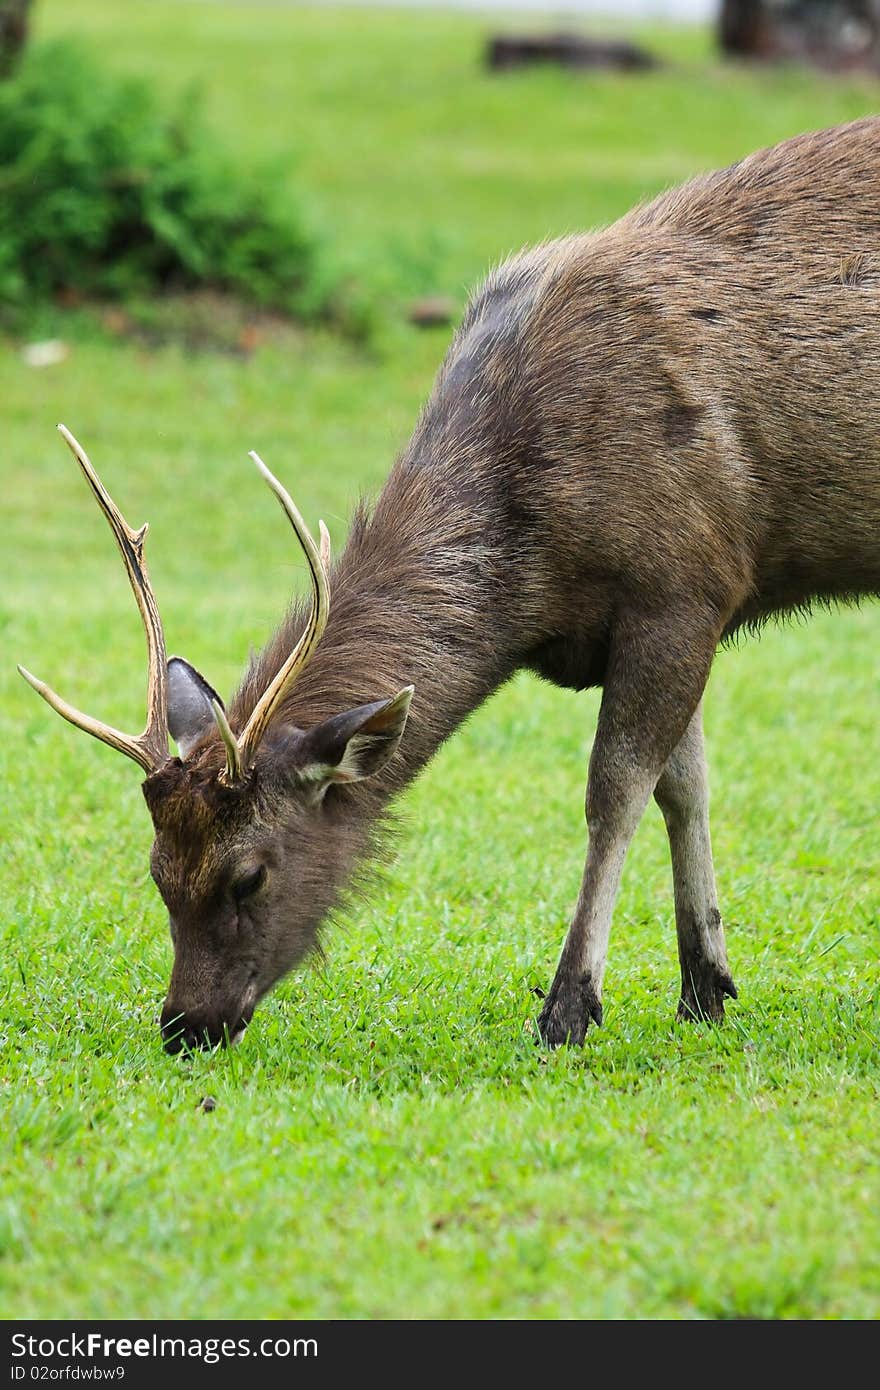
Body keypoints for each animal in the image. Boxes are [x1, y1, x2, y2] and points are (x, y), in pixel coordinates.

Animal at [18, 119, 878, 1050]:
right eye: (156, 872)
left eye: (248, 875)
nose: (185, 1024)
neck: (536, 576)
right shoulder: (665, 612)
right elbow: (684, 789)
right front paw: (706, 988)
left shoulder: (682, 582)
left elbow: (616, 792)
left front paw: (570, 1006)